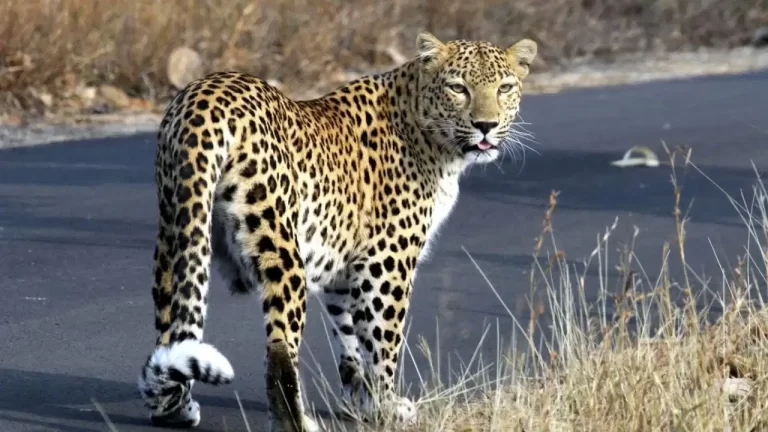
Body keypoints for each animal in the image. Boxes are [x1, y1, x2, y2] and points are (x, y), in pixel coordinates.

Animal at [136, 31, 537, 432]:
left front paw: (358, 401)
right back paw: (297, 422)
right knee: (279, 351)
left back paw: (173, 409)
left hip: (176, 233)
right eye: (458, 88)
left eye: (504, 88)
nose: (485, 125)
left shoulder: (345, 266)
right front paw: (385, 407)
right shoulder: (385, 261)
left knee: (173, 330)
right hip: (281, 250)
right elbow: (383, 340)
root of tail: (205, 96)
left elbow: (349, 335)